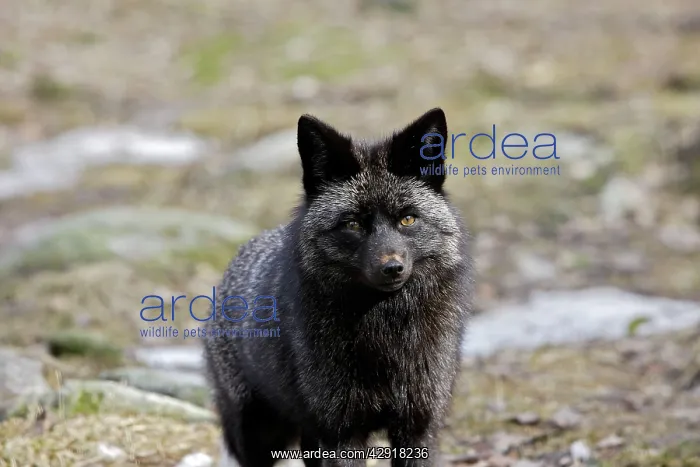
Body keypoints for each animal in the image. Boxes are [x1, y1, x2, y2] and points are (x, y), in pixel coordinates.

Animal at [203, 108, 473, 467]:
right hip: (258, 433)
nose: (392, 268)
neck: (384, 333)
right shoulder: (341, 432)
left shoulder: (418, 426)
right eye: (353, 224)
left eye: (407, 220)